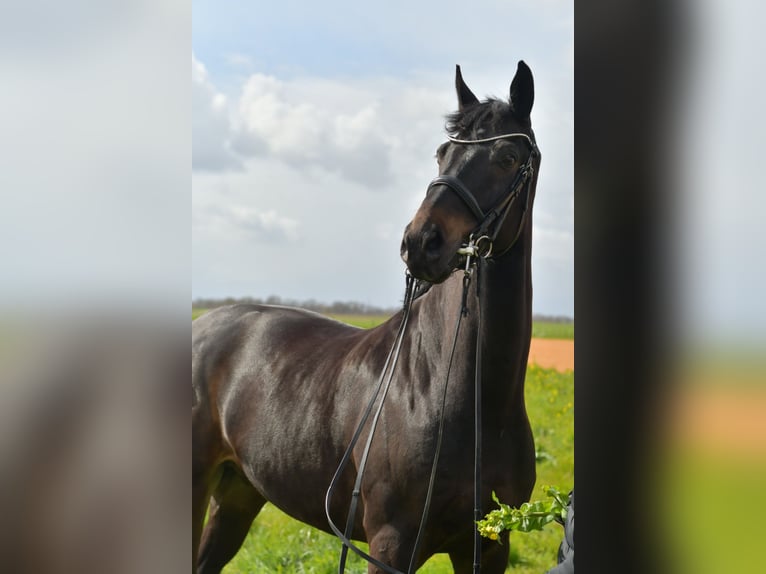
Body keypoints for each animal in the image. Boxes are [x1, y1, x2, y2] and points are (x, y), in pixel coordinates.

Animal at [192, 61, 541, 573]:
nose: (421, 242)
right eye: (442, 153)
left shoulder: (491, 545)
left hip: (237, 495)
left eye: (508, 157)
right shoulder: (390, 544)